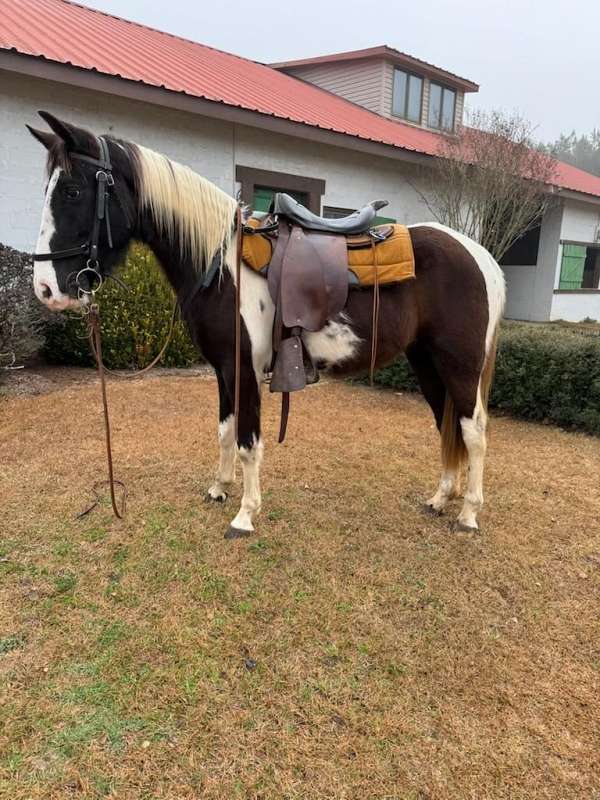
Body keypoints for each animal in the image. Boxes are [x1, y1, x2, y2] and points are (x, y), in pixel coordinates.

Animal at [28, 111, 506, 536]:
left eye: (72, 191)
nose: (45, 288)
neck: (219, 264)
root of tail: (480, 256)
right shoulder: (223, 370)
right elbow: (224, 431)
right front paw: (219, 489)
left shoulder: (245, 370)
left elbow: (247, 442)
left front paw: (244, 515)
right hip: (427, 363)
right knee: (447, 425)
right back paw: (441, 499)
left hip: (460, 366)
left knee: (474, 432)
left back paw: (468, 515)